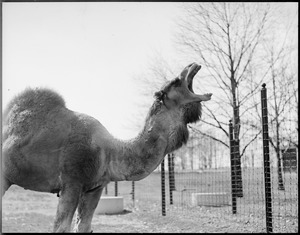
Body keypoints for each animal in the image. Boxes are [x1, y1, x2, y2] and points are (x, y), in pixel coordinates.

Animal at [1, 61, 211, 232]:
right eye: (176, 81)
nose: (192, 65)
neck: (110, 152)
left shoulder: (95, 188)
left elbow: (84, 227)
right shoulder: (72, 182)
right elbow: (61, 227)